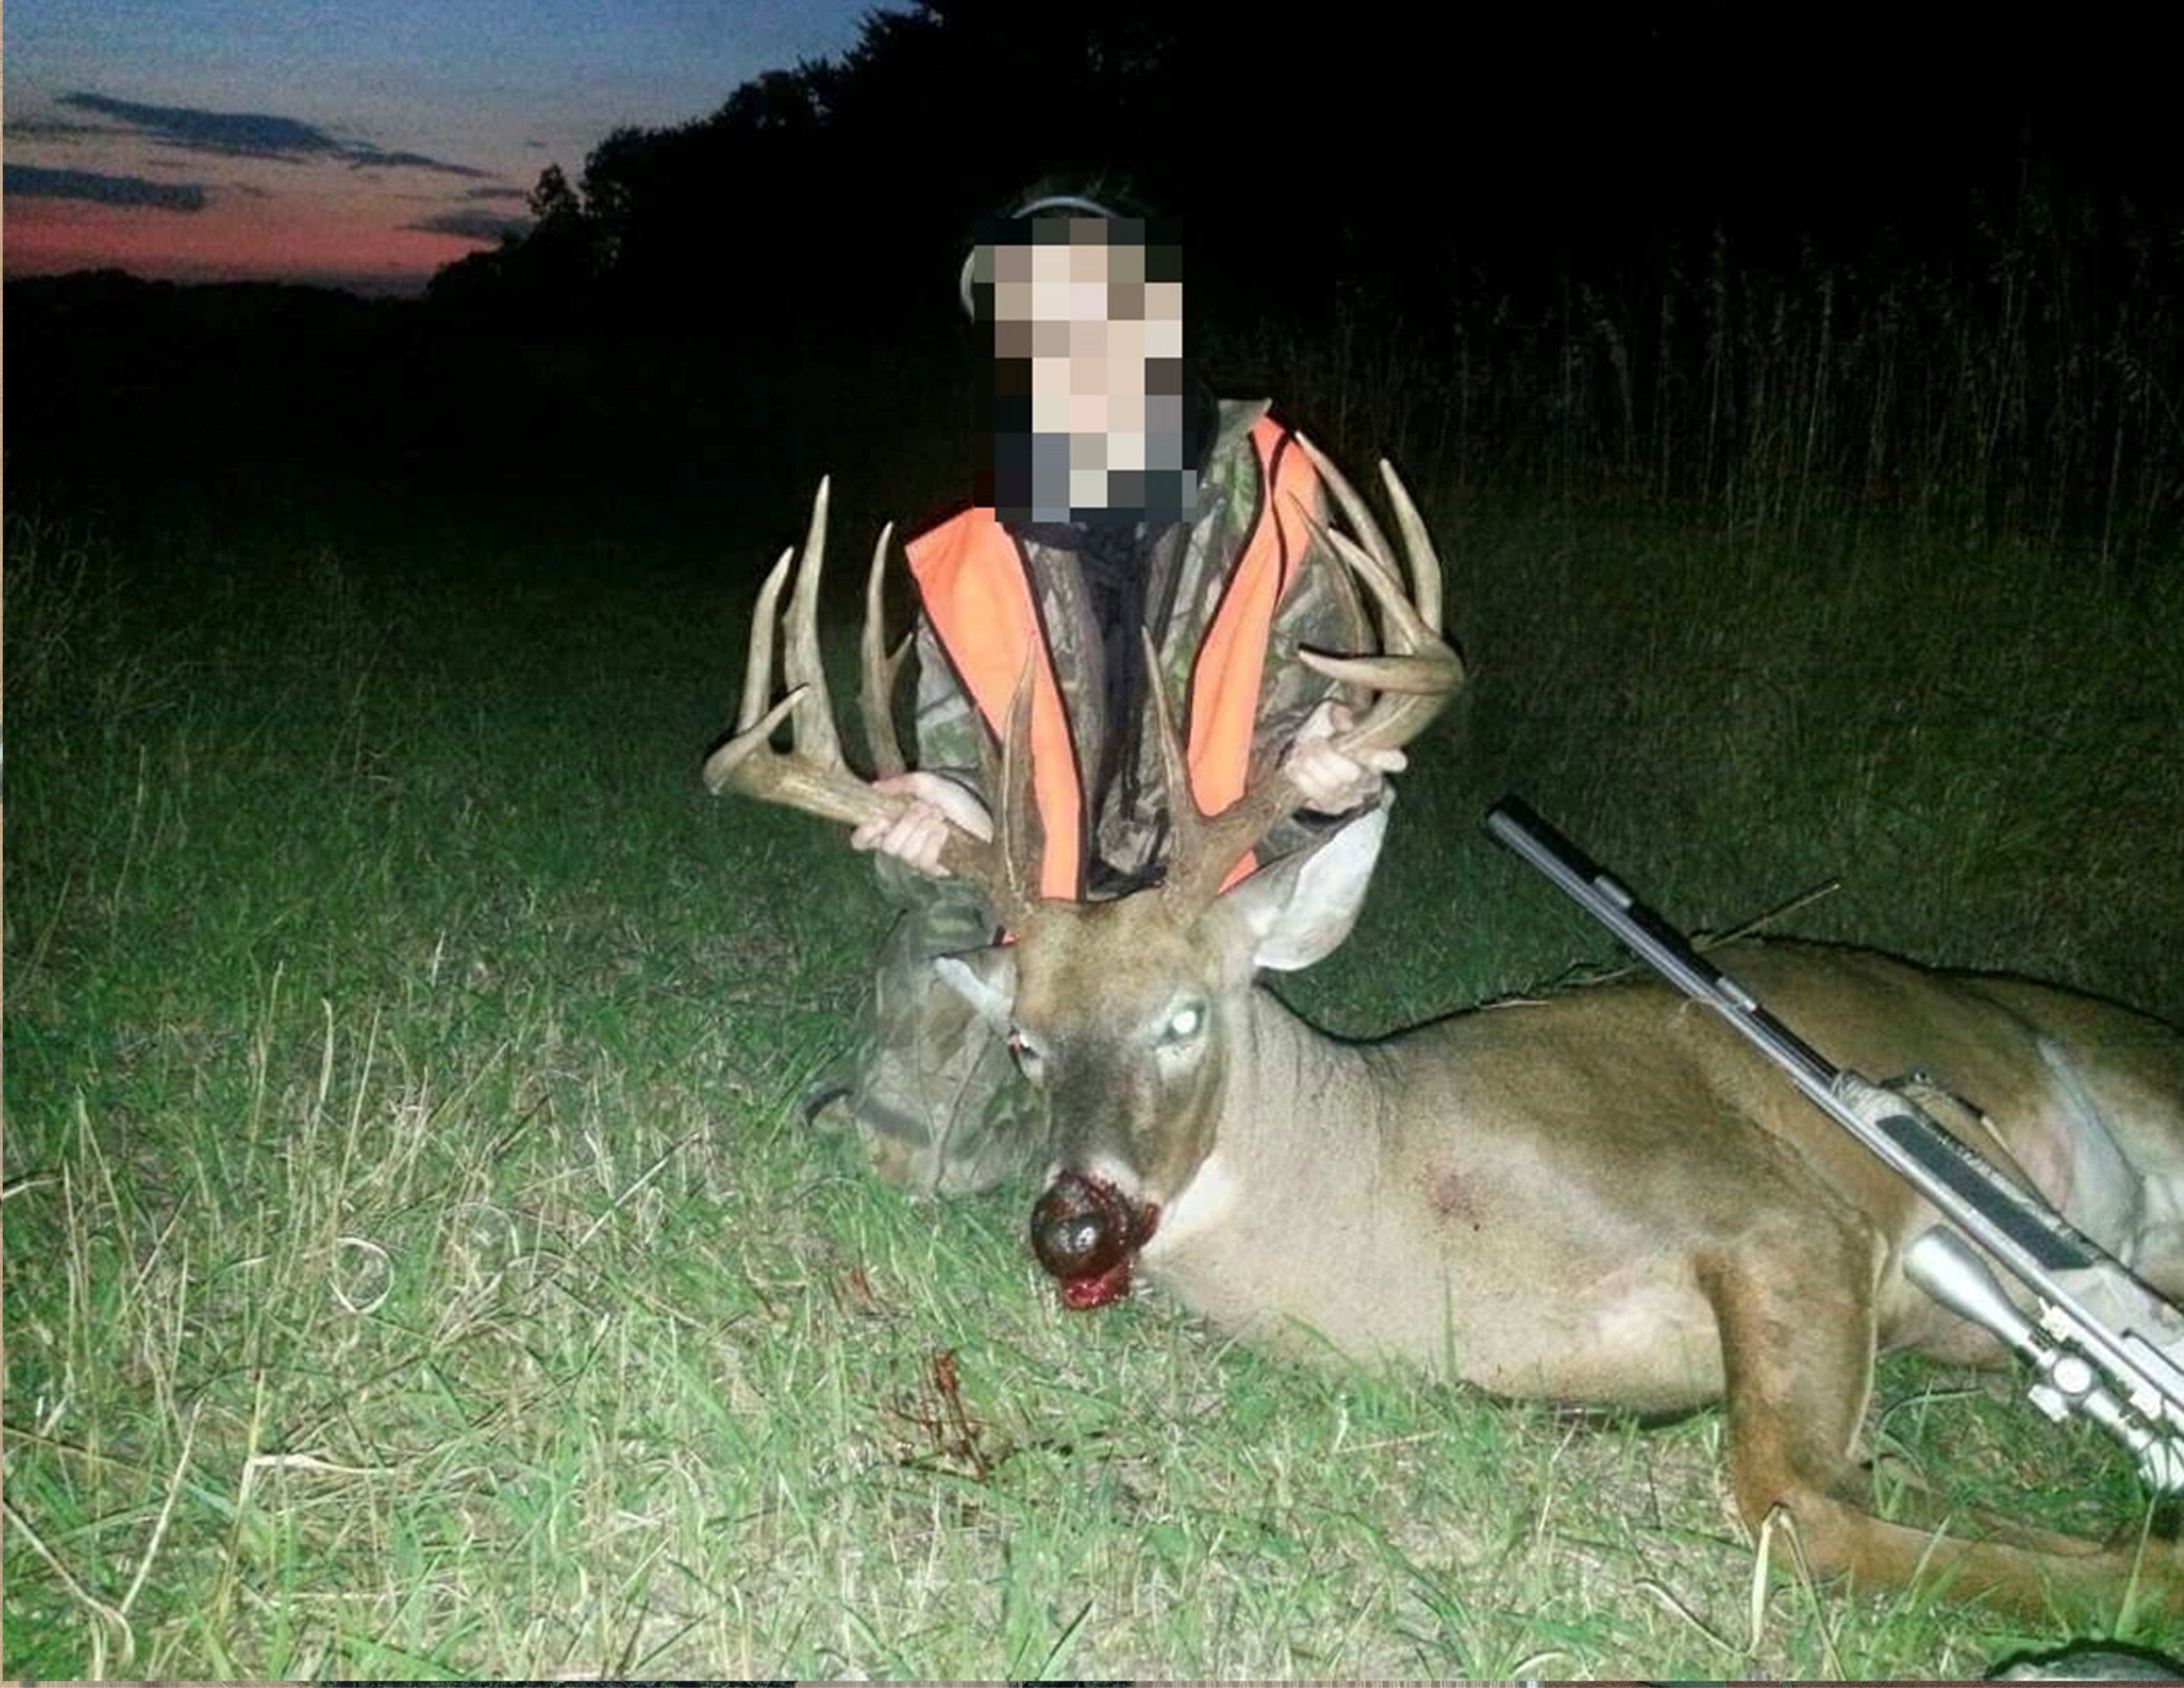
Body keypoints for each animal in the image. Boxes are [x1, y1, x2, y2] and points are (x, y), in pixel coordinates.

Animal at [704, 455, 2184, 1621]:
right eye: (1024, 1042)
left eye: (1186, 1014)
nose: (1075, 1222)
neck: (1413, 1211)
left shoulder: (1786, 1218)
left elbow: (1792, 1503)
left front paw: (2150, 1572)